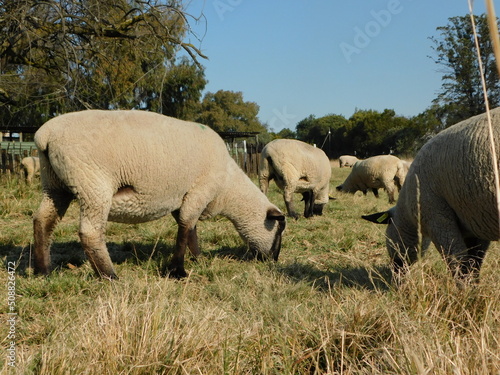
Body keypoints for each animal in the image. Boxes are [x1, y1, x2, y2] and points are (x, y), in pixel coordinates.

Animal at [32, 108, 286, 280]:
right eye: (279, 229)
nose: (273, 261)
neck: (228, 188)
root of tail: (46, 135)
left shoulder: (182, 198)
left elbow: (190, 230)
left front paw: (197, 258)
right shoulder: (199, 191)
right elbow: (185, 228)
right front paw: (178, 271)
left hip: (55, 184)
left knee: (42, 221)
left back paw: (43, 271)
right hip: (92, 185)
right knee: (90, 232)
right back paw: (109, 275)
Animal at [362, 107, 500, 284]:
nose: (396, 274)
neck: (407, 213)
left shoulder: (437, 218)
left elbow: (458, 264)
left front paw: (465, 291)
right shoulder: (475, 221)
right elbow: (474, 264)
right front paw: (474, 288)